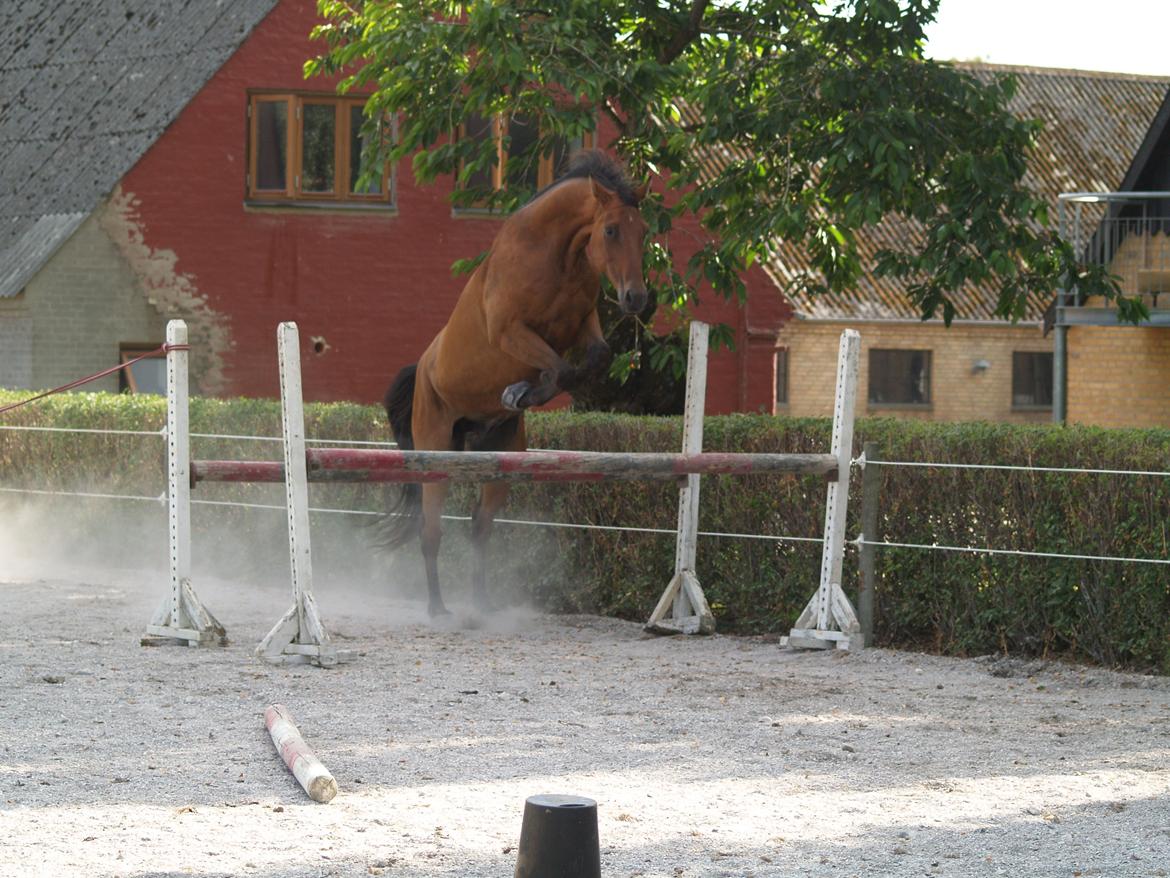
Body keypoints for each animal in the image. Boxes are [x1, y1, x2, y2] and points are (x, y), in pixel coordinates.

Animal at [379, 151, 650, 618]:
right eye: (611, 230)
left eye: (644, 232)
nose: (637, 299)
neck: (557, 257)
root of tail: (423, 367)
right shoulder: (512, 333)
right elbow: (560, 368)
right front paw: (522, 390)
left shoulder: (583, 324)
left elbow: (594, 358)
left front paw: (522, 392)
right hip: (436, 450)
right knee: (430, 531)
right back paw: (438, 608)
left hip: (501, 457)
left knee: (479, 527)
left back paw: (483, 606)